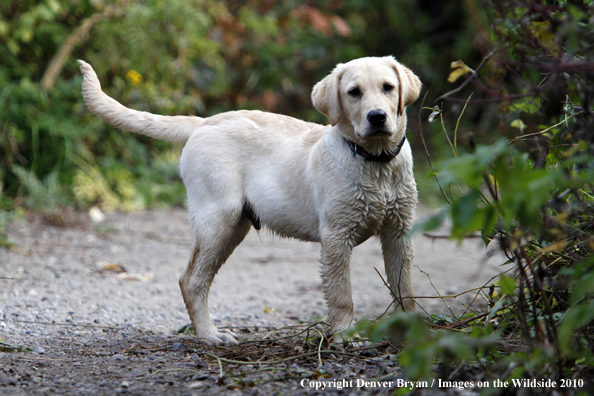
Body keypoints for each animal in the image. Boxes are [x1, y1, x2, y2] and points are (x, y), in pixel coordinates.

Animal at [78, 57, 420, 344]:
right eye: (353, 92)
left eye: (388, 88)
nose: (377, 117)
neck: (375, 162)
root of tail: (204, 122)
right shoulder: (336, 236)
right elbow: (342, 294)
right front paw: (344, 337)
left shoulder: (399, 232)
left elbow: (404, 288)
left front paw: (413, 333)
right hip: (218, 218)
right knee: (191, 281)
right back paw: (210, 335)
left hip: (234, 226)